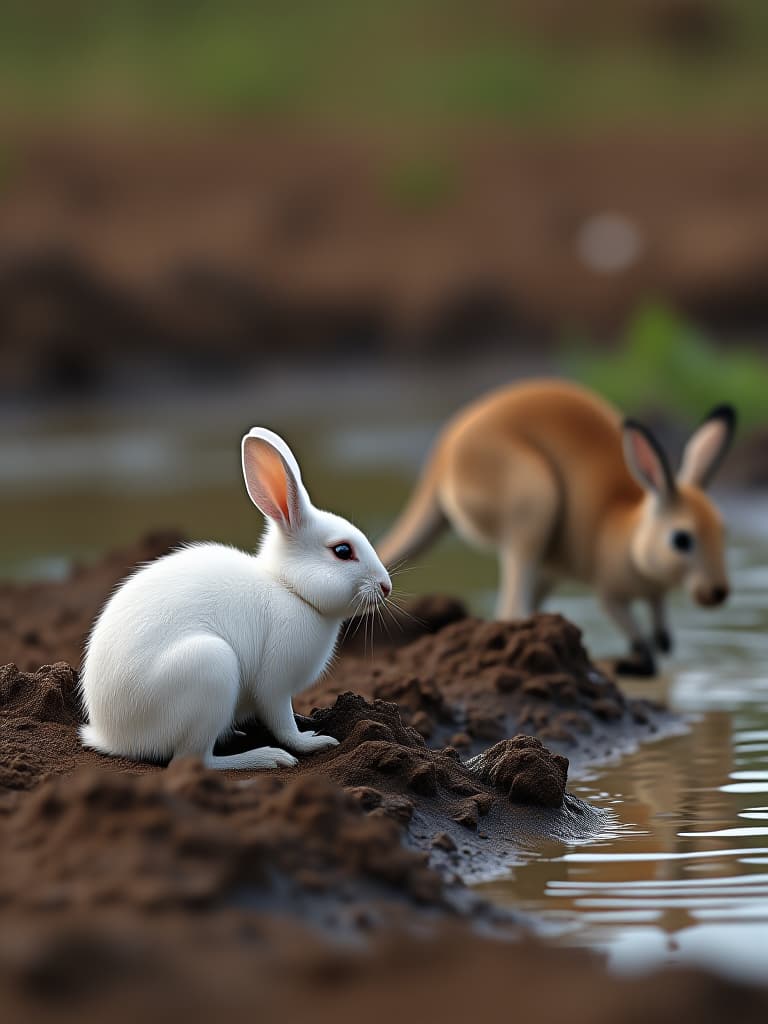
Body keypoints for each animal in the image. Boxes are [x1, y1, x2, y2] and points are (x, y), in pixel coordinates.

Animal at [78, 423, 393, 770]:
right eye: (342, 551)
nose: (386, 586)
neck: (289, 588)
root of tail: (112, 736)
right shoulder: (274, 685)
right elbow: (283, 725)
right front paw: (312, 742)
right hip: (211, 669)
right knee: (193, 759)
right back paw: (265, 757)